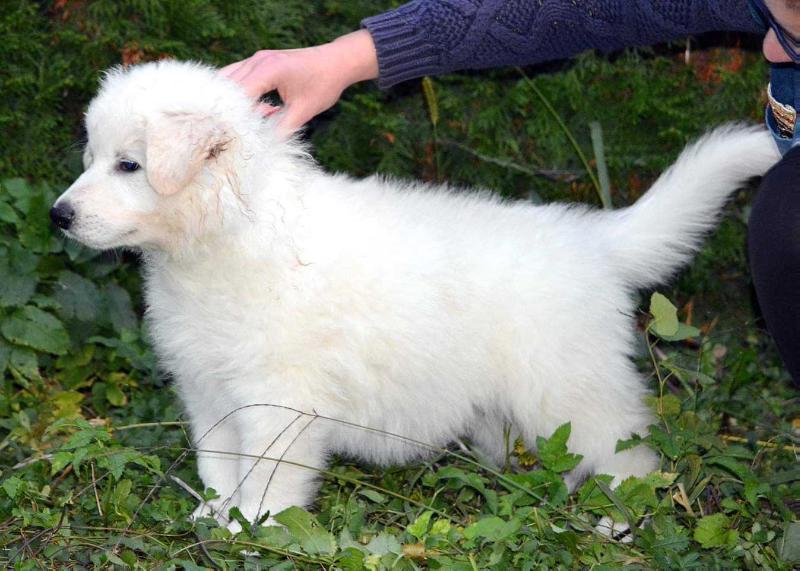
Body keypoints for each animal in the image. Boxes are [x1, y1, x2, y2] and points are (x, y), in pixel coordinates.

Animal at [53, 60, 780, 528]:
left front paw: (253, 528)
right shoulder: (208, 388)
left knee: (631, 459)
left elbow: (267, 474)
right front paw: (215, 514)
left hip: (570, 391)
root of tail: (594, 239)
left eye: (129, 164)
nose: (60, 215)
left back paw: (618, 522)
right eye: (91, 157)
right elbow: (219, 462)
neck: (230, 234)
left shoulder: (280, 399)